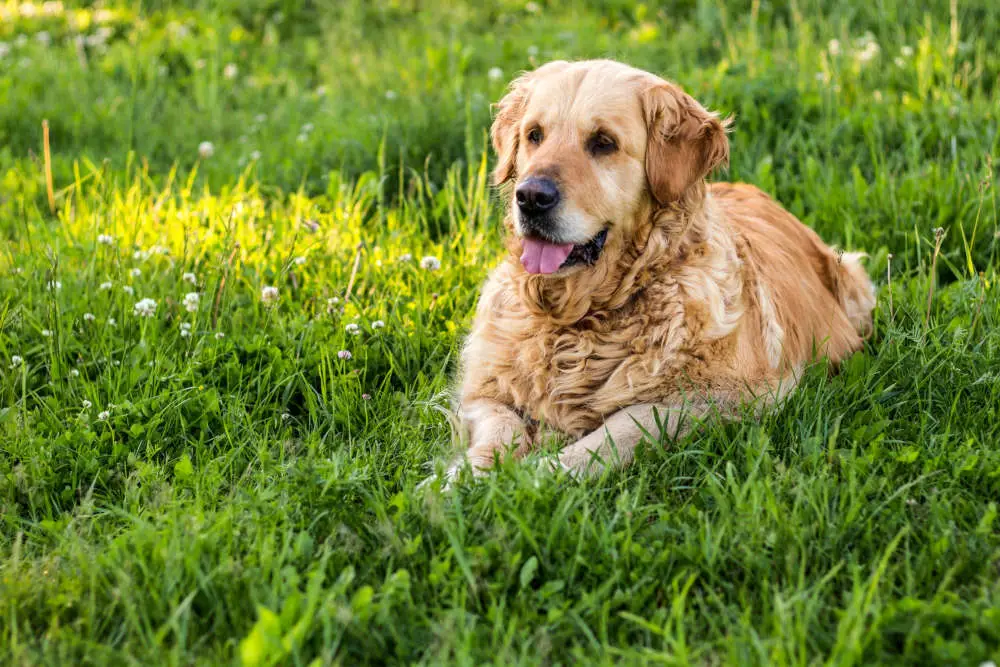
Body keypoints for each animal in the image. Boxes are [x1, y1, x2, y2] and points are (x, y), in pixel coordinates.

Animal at [442, 60, 872, 482]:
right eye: (534, 135)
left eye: (603, 142)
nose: (530, 197)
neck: (578, 318)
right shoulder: (485, 390)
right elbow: (499, 429)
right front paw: (460, 482)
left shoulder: (733, 396)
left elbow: (619, 430)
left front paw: (539, 474)